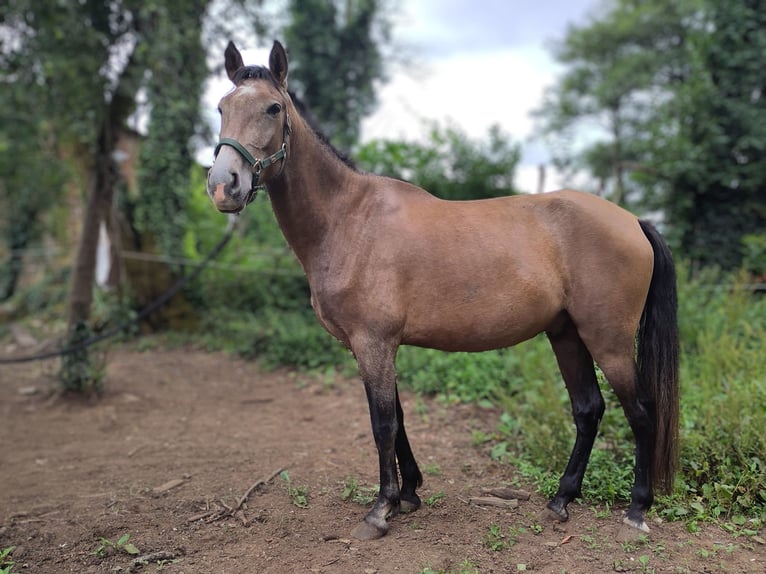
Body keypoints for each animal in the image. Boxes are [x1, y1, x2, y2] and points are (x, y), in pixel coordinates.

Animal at [207, 41, 680, 544]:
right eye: (221, 107)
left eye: (273, 108)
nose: (223, 186)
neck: (348, 218)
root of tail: (633, 221)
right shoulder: (374, 346)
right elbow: (397, 421)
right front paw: (408, 494)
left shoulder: (373, 343)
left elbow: (382, 424)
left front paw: (380, 509)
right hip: (567, 334)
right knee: (588, 410)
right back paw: (561, 499)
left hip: (607, 340)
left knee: (641, 413)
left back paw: (636, 509)